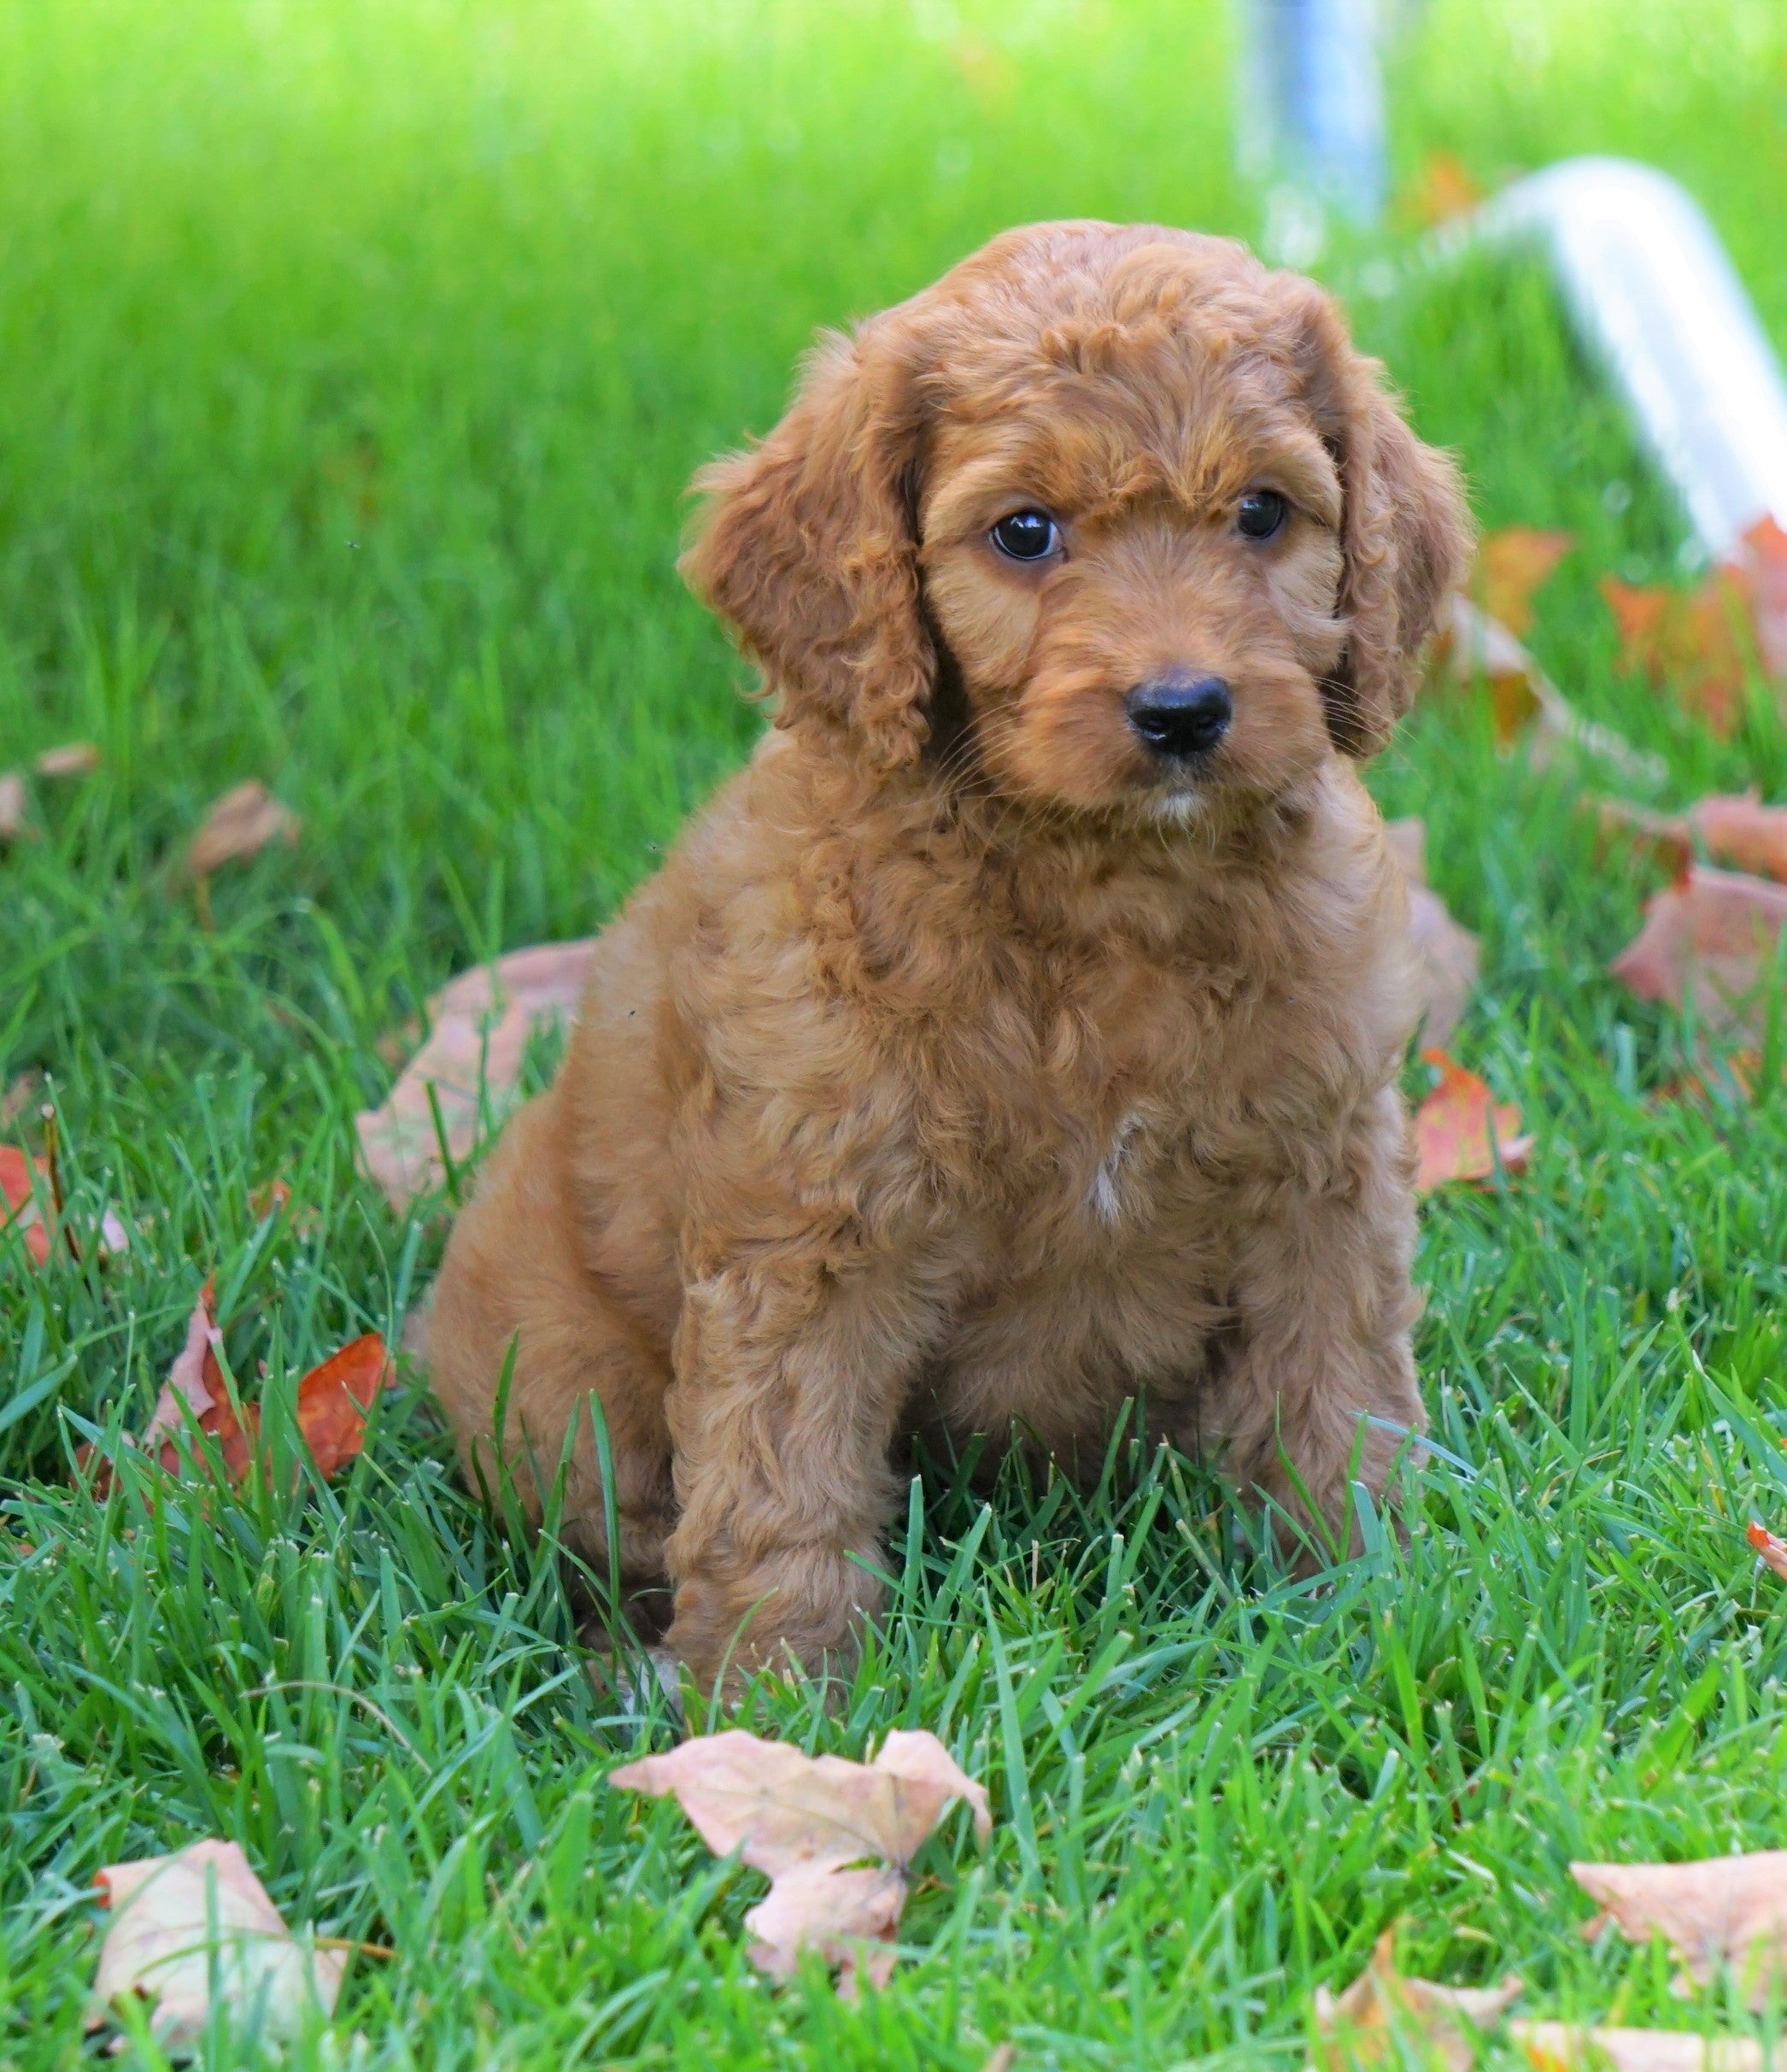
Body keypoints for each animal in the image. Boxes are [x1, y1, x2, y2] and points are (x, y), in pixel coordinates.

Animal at [426, 218, 1474, 1690]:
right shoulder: (814, 1225)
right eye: (1025, 532)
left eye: (1266, 512)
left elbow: (1341, 1394)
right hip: (555, 1377)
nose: (1184, 711)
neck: (1105, 896)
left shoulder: (1323, 1172)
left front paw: (1369, 1600)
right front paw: (777, 1697)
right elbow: (780, 1477)